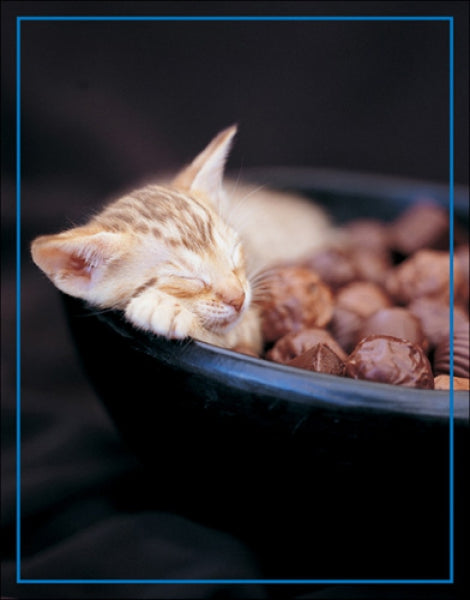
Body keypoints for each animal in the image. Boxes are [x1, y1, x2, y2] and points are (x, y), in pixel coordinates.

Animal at [31, 125, 332, 354]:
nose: (239, 298)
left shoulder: (250, 326)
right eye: (187, 279)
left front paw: (164, 309)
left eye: (233, 254)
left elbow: (226, 335)